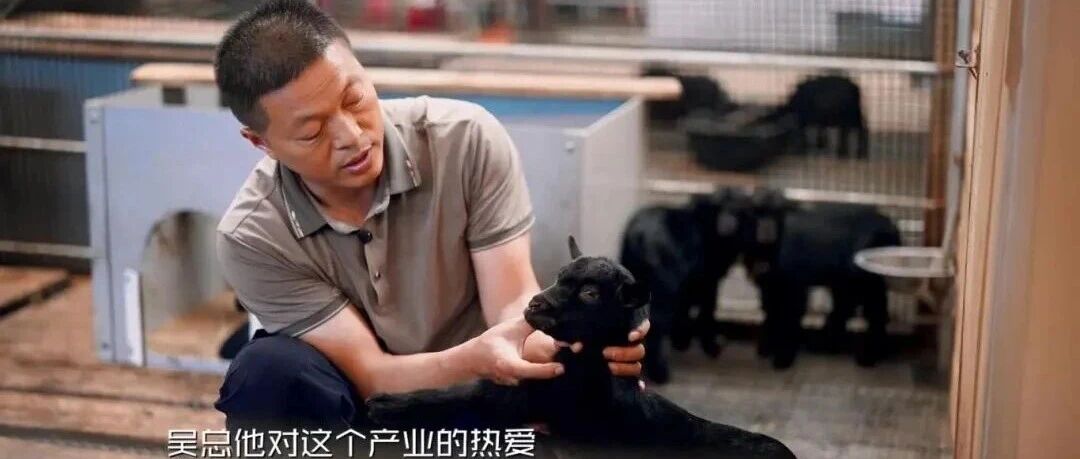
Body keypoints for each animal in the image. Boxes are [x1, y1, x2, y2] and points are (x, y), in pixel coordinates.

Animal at [366, 237, 795, 459]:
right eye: (559, 276)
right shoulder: (507, 399)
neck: (576, 371)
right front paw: (387, 403)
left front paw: (380, 405)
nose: (535, 303)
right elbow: (446, 396)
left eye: (589, 292)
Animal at [619, 189, 749, 383]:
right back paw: (660, 372)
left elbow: (685, 308)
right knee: (658, 324)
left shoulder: (691, 282)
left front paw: (681, 340)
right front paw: (710, 346)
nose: (727, 223)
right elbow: (708, 310)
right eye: (720, 207)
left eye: (737, 208)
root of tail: (639, 234)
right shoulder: (707, 280)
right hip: (664, 287)